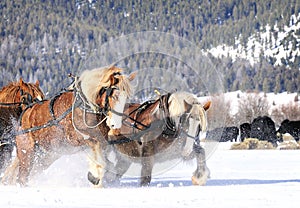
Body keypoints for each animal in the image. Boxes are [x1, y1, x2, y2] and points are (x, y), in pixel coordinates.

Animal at [1, 66, 135, 186]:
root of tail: (26, 113)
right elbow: (100, 156)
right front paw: (95, 177)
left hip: (47, 155)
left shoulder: (104, 141)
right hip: (27, 152)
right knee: (22, 177)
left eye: (126, 97)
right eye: (114, 95)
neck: (84, 105)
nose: (116, 124)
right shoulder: (77, 139)